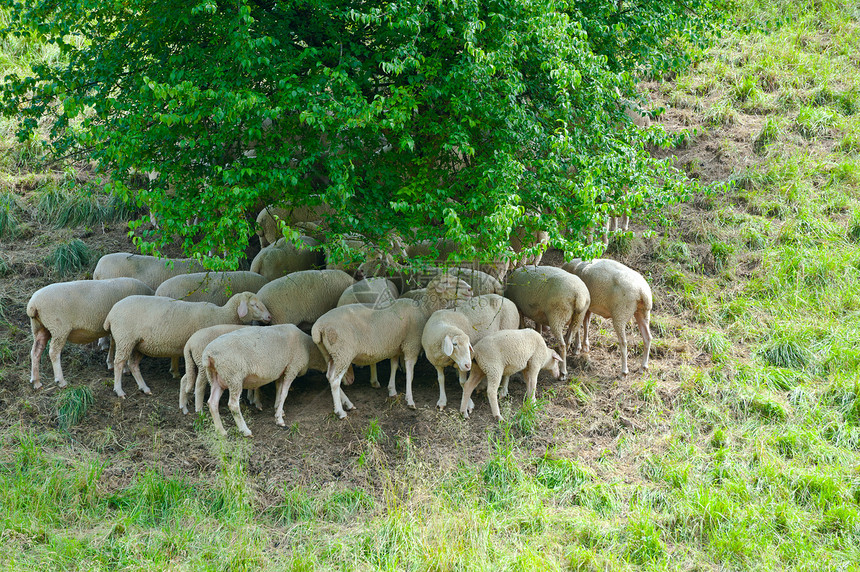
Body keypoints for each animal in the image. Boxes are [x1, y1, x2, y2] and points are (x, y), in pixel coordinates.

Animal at [26, 278, 154, 388]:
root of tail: (33, 305)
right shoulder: (127, 329)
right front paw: (125, 368)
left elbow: (113, 343)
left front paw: (110, 363)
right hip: (59, 329)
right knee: (53, 352)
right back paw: (61, 381)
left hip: (40, 328)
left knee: (36, 351)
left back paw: (36, 381)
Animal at [104, 290, 272, 398]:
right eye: (254, 305)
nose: (269, 316)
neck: (223, 315)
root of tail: (111, 312)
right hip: (125, 339)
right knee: (119, 363)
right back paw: (119, 390)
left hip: (138, 344)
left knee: (133, 365)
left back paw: (145, 388)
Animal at [310, 272, 470, 416]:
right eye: (446, 282)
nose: (469, 289)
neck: (423, 310)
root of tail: (318, 327)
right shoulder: (411, 345)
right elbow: (410, 373)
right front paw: (410, 400)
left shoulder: (395, 347)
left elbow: (393, 366)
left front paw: (392, 390)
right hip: (343, 352)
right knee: (335, 380)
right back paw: (340, 411)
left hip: (330, 353)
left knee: (330, 377)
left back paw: (347, 404)